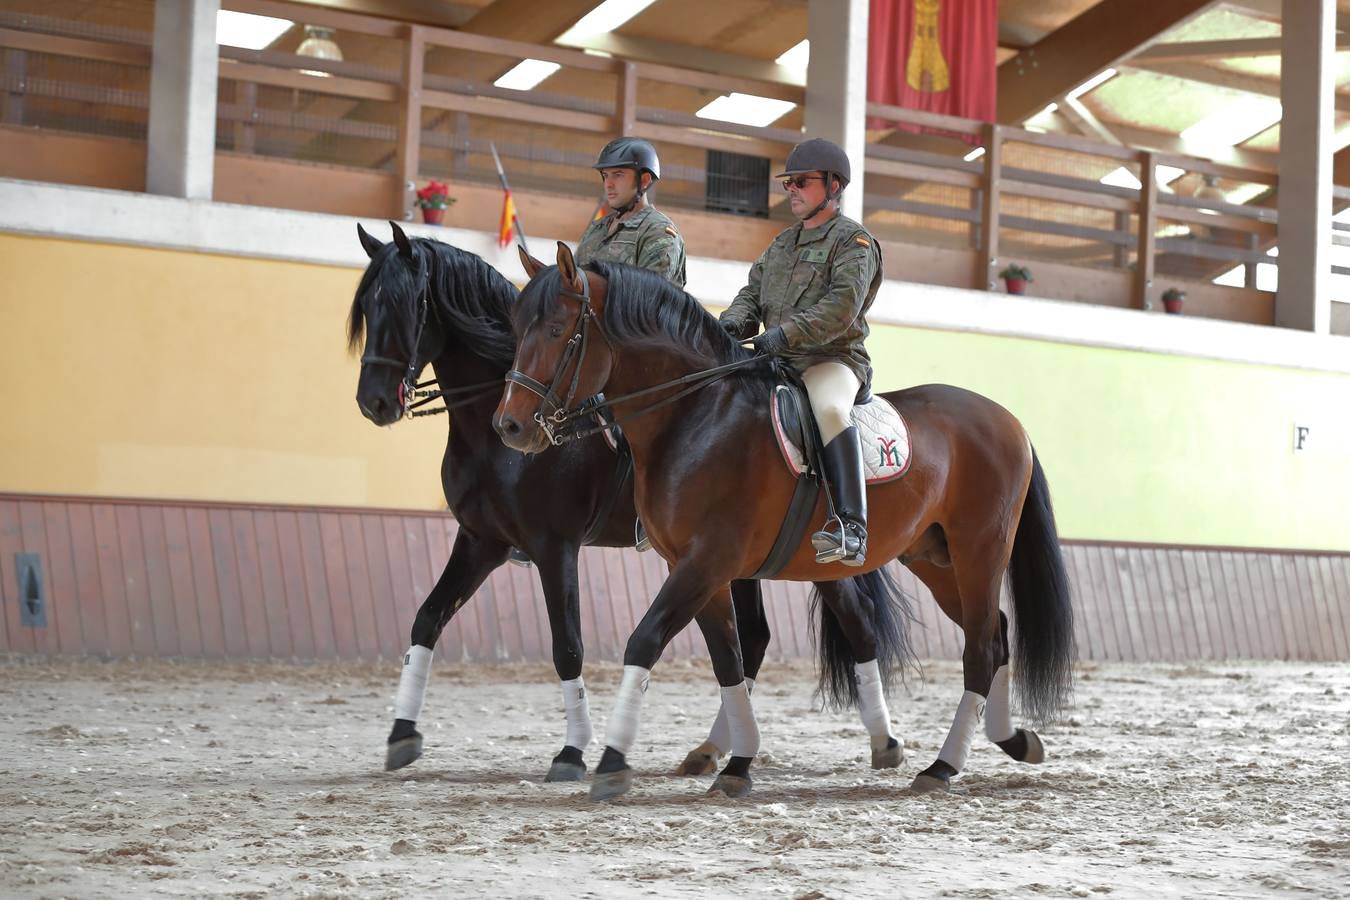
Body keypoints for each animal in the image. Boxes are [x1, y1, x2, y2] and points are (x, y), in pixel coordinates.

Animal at [345, 223, 907, 782]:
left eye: (405, 304)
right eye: (368, 307)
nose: (375, 402)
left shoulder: (555, 546)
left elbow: (567, 645)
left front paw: (573, 752)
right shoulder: (482, 540)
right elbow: (427, 619)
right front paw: (402, 734)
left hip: (800, 554)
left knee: (856, 623)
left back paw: (883, 741)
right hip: (741, 560)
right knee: (752, 639)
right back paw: (717, 750)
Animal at [496, 242, 1074, 798]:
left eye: (557, 330)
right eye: (517, 328)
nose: (509, 427)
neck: (696, 416)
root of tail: (1008, 421)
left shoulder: (706, 560)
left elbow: (646, 641)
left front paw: (613, 762)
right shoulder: (699, 568)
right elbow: (729, 658)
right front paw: (737, 764)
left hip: (979, 551)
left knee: (980, 646)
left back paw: (943, 766)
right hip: (934, 558)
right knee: (996, 634)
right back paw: (1013, 740)